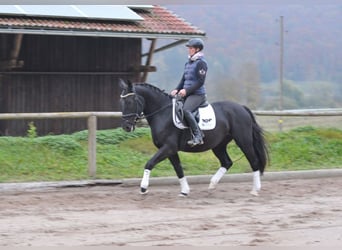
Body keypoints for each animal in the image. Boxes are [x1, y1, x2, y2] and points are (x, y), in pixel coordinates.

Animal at [119, 79, 268, 196]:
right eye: (122, 101)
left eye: (130, 101)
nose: (126, 126)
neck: (162, 113)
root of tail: (242, 108)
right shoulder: (170, 150)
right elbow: (178, 169)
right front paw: (184, 191)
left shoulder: (168, 147)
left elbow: (150, 163)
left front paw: (143, 187)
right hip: (218, 145)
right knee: (227, 162)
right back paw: (212, 185)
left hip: (243, 141)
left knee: (254, 161)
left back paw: (255, 190)